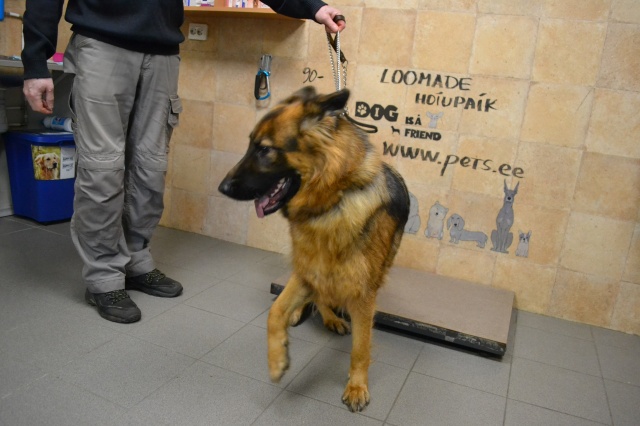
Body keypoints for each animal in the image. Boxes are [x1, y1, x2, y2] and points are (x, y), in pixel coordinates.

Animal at [218, 87, 410, 412]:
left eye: (264, 150)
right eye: (250, 145)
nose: (223, 188)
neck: (331, 203)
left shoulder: (362, 294)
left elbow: (361, 347)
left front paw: (357, 386)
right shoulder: (308, 269)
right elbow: (275, 311)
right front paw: (277, 360)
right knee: (315, 296)